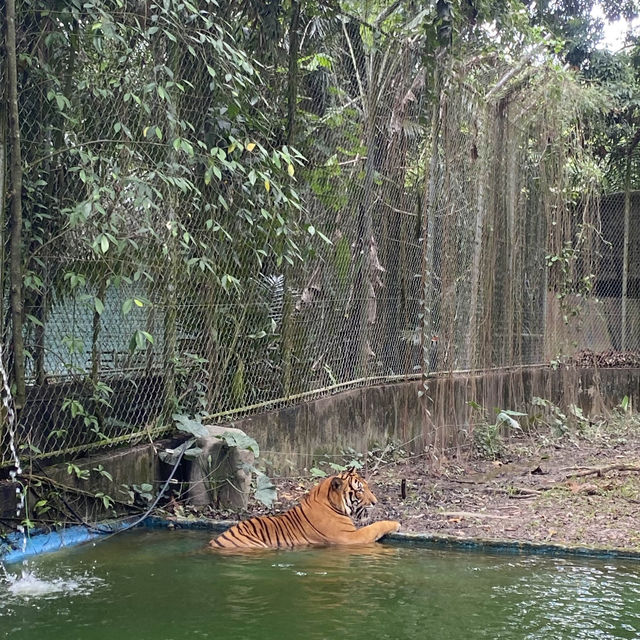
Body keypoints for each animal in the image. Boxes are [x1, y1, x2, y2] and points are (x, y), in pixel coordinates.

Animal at [210, 464, 400, 552]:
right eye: (360, 490)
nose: (375, 502)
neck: (329, 501)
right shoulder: (349, 538)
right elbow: (375, 527)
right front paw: (396, 524)